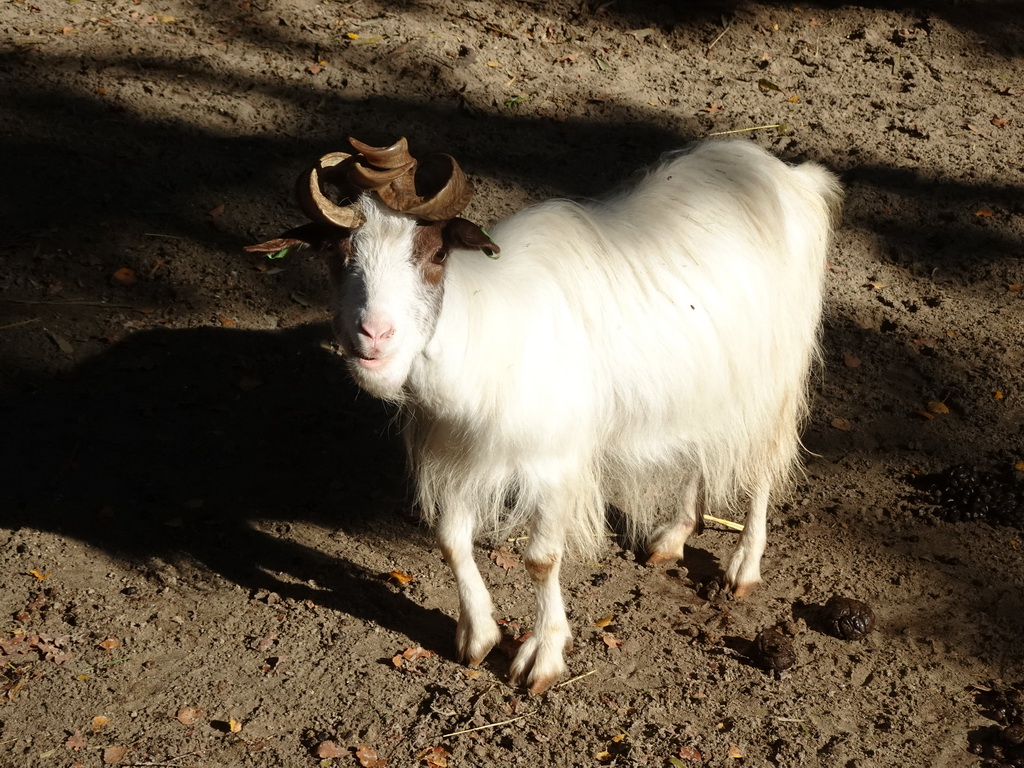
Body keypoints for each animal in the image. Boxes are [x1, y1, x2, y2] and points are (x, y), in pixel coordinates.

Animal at [247, 137, 839, 692]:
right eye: (334, 254)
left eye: (435, 255)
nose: (372, 335)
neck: (483, 330)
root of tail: (793, 178)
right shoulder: (457, 456)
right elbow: (451, 540)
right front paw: (478, 636)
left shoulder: (554, 464)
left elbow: (540, 559)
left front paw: (542, 657)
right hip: (704, 381)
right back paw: (672, 536)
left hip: (774, 378)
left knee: (763, 466)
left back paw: (743, 567)